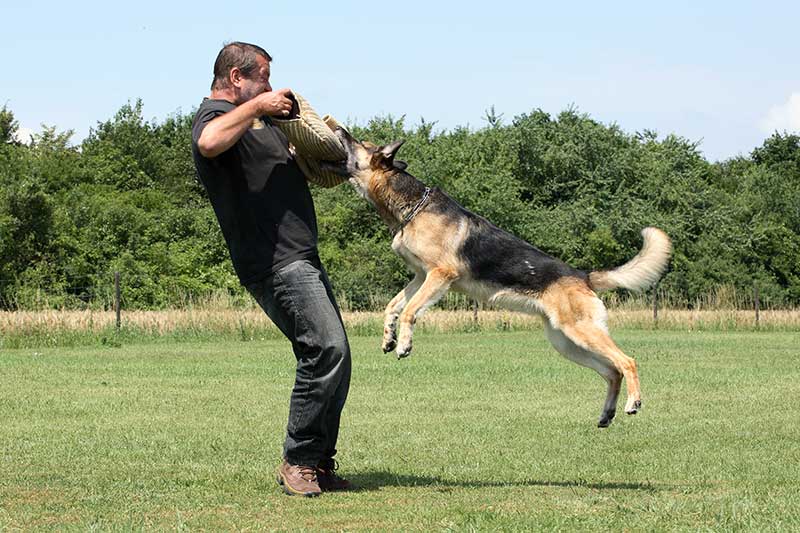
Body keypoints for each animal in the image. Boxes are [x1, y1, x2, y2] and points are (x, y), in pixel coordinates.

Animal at [324, 127, 668, 426]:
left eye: (360, 142)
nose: (339, 128)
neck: (413, 208)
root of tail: (584, 276)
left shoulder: (439, 275)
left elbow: (410, 311)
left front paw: (404, 345)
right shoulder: (420, 276)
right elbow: (393, 306)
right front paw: (388, 337)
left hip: (582, 333)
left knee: (627, 361)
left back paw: (634, 402)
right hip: (566, 342)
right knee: (612, 372)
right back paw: (607, 414)